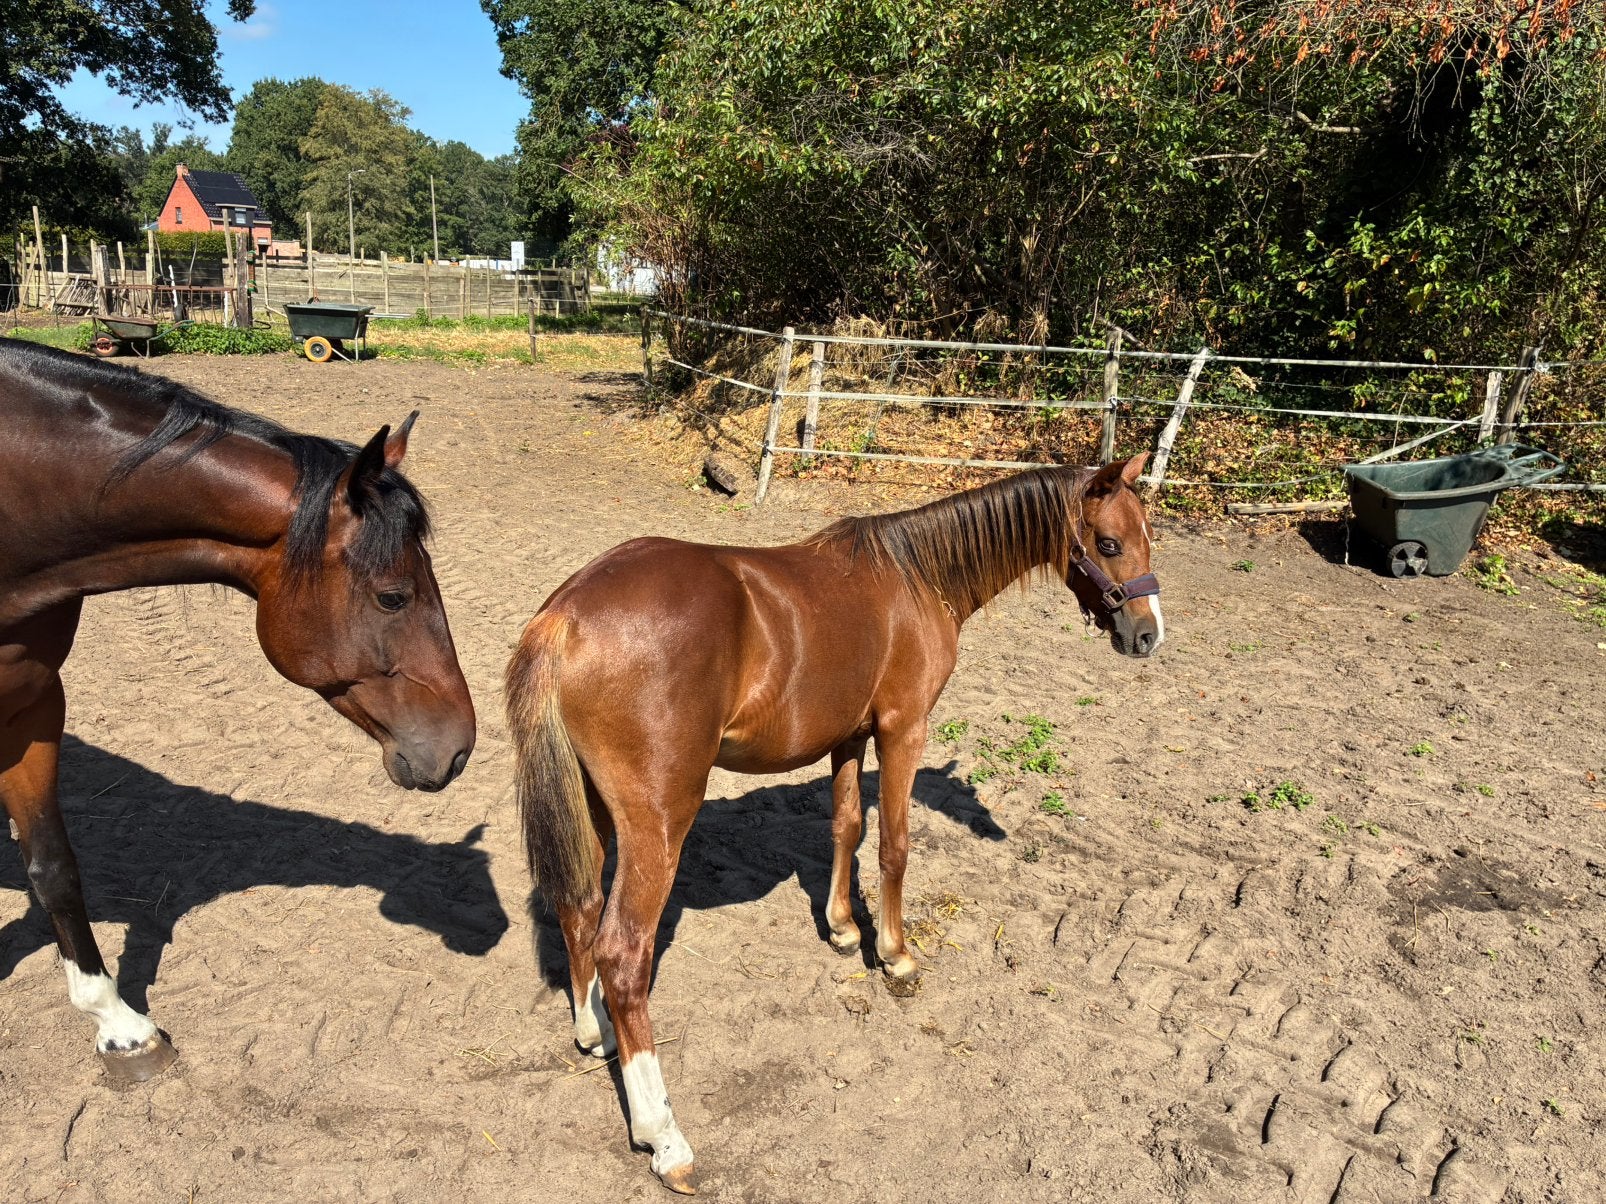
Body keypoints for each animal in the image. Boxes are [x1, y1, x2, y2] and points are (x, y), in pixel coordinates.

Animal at [505, 453, 1162, 1193]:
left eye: (1147, 535)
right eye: (1109, 543)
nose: (1147, 633)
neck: (916, 577)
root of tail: (566, 615)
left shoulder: (849, 735)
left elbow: (846, 826)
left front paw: (845, 927)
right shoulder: (903, 729)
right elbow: (895, 845)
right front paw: (897, 956)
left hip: (590, 806)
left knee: (579, 908)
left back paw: (597, 1034)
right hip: (659, 822)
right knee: (623, 953)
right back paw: (665, 1138)